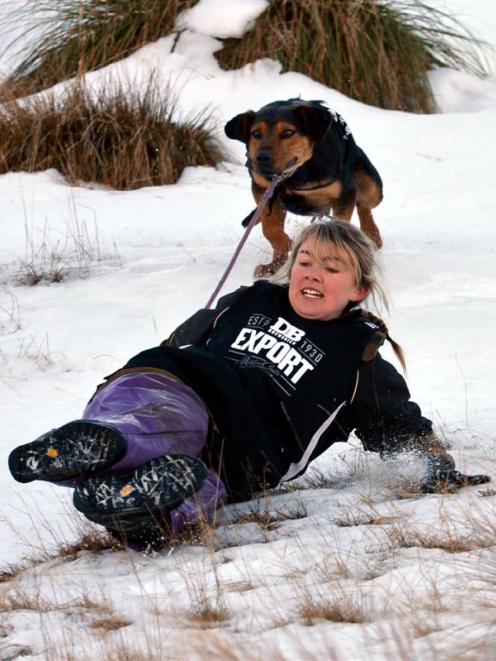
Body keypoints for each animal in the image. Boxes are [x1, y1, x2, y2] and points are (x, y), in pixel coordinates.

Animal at [225, 96, 384, 274]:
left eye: (288, 132)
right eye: (256, 133)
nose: (262, 157)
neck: (294, 174)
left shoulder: (344, 193)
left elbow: (340, 224)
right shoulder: (264, 191)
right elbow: (270, 229)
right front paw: (283, 250)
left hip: (371, 186)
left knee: (364, 204)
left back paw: (372, 235)